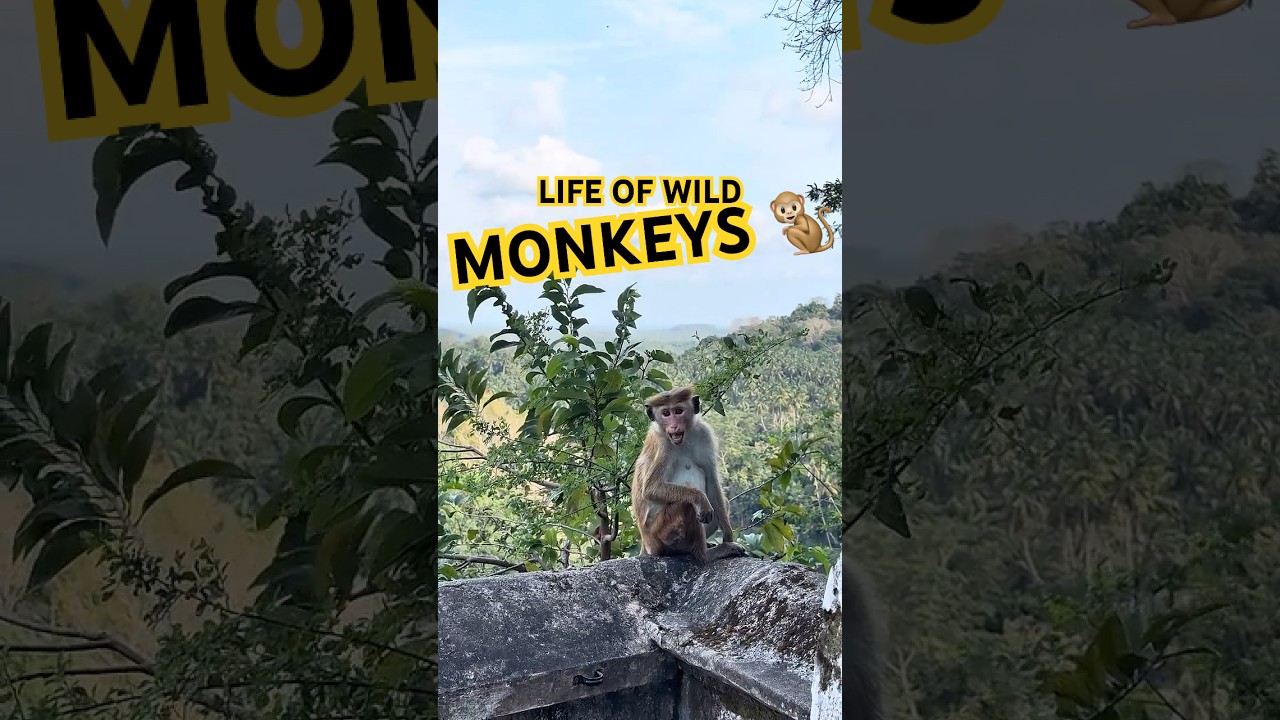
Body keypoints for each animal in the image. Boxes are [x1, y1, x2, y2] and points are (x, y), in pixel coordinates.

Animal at [630, 386, 744, 564]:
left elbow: (712, 481)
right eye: (666, 413)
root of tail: (646, 544)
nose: (673, 426)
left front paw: (728, 536)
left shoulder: (704, 433)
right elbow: (651, 488)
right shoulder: (662, 445)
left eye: (678, 411)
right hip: (660, 536)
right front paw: (700, 499)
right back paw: (705, 555)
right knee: (687, 505)